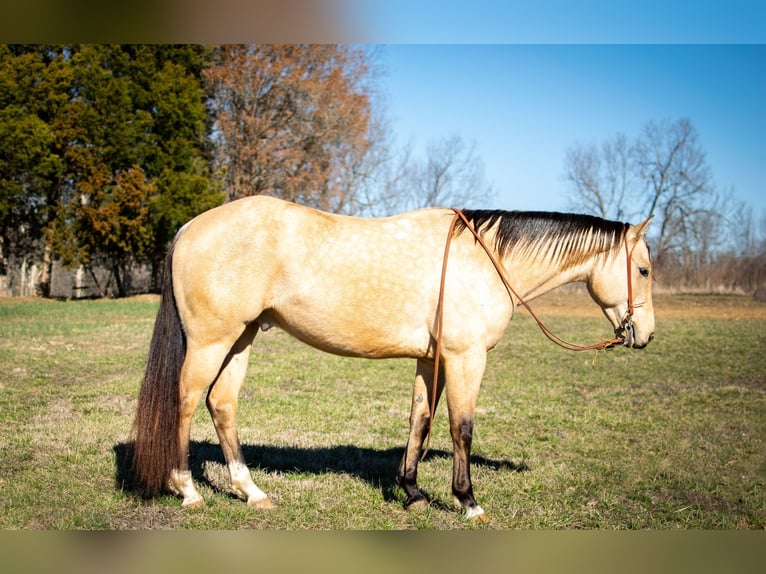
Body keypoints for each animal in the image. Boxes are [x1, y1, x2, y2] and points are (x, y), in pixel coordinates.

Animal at [130, 196, 656, 524]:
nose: (646, 335)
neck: (482, 261)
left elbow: (420, 421)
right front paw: (468, 501)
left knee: (222, 405)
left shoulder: (431, 360)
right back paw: (188, 491)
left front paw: (413, 492)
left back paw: (251, 492)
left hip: (240, 339)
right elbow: (461, 428)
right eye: (645, 269)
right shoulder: (464, 358)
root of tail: (190, 227)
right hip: (210, 342)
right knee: (185, 402)